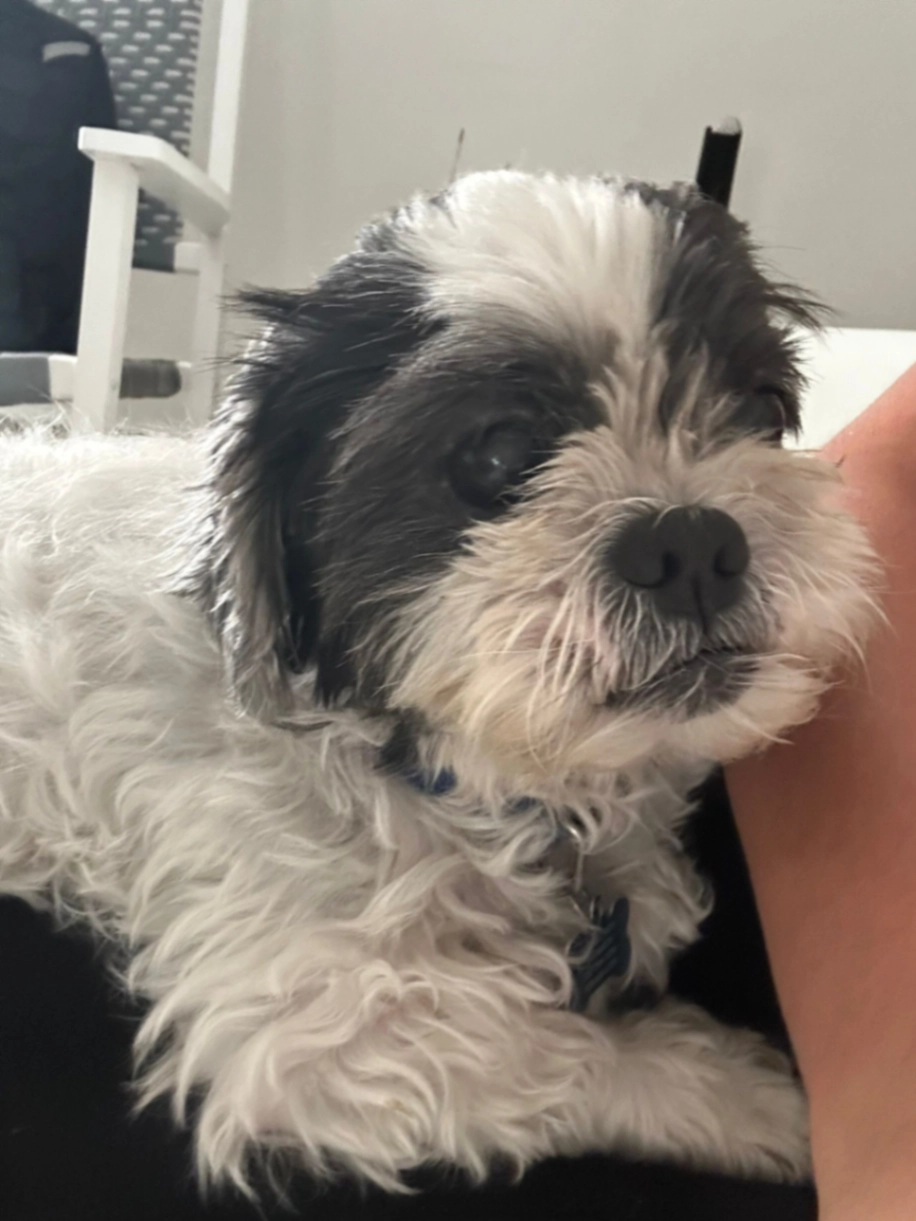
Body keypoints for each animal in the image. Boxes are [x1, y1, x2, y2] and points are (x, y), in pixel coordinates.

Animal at [0, 171, 877, 1195]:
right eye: (496, 456)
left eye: (759, 407)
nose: (692, 540)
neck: (441, 773)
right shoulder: (314, 1028)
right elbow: (546, 1048)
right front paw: (743, 1093)